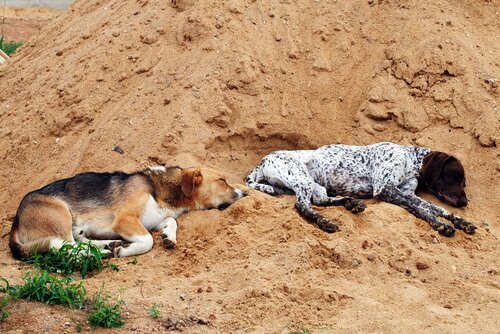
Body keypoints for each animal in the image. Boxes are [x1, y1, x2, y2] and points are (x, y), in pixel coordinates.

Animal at [10, 165, 246, 258]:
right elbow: (148, 240)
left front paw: (169, 236)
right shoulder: (125, 220)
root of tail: (15, 223)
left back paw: (106, 245)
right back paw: (101, 252)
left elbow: (172, 221)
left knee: (76, 242)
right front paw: (126, 251)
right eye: (222, 181)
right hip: (60, 213)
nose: (245, 193)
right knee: (66, 247)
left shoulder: (155, 219)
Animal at [246, 142, 476, 236]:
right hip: (301, 179)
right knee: (303, 205)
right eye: (456, 176)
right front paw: (440, 224)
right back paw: (325, 222)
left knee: (320, 200)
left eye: (463, 181)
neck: (409, 160)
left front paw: (461, 221)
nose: (465, 202)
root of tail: (263, 161)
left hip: (315, 184)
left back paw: (350, 203)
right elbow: (423, 209)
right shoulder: (385, 189)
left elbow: (435, 208)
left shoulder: (405, 193)